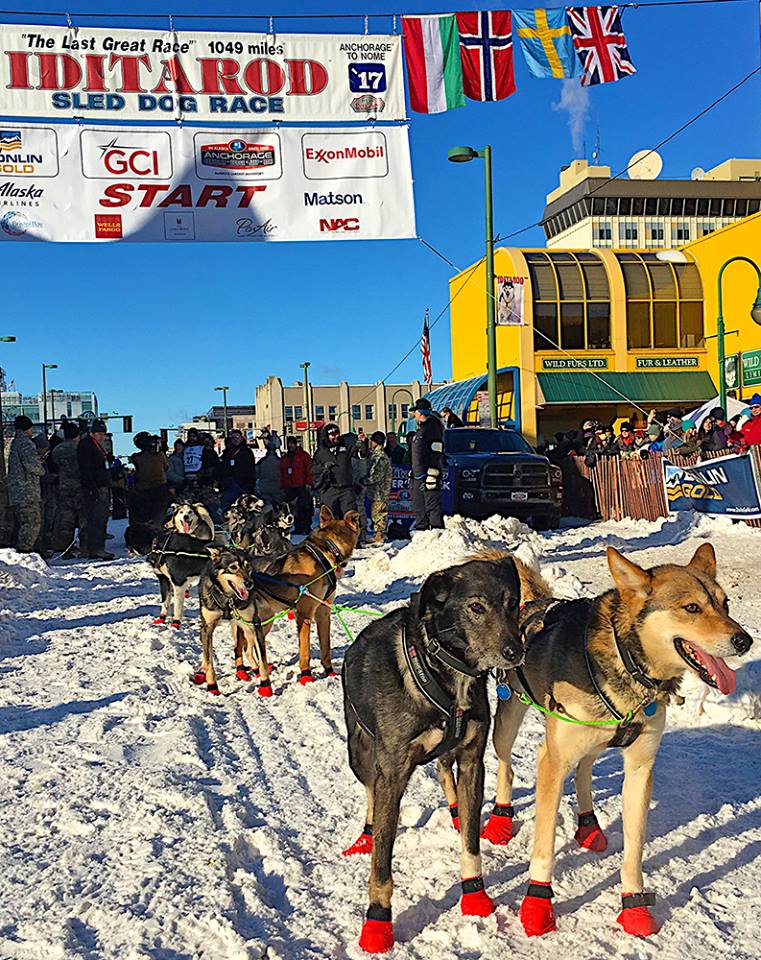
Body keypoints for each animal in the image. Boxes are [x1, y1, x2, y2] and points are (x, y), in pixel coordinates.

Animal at [342, 556, 524, 952]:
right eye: (476, 607)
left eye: (512, 604)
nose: (514, 653)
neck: (444, 672)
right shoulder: (393, 773)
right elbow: (382, 860)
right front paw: (377, 921)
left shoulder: (472, 761)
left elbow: (471, 841)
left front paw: (474, 895)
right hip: (359, 754)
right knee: (370, 790)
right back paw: (365, 835)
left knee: (443, 769)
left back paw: (455, 812)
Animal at [480, 544, 756, 940]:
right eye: (691, 607)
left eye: (726, 603)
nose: (744, 641)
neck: (629, 662)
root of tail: (534, 604)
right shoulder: (552, 761)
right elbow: (544, 849)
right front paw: (537, 906)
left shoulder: (640, 769)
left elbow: (634, 851)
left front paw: (634, 904)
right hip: (508, 721)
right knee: (507, 767)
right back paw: (500, 821)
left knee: (584, 771)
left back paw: (588, 824)